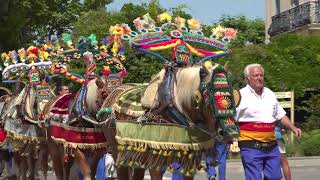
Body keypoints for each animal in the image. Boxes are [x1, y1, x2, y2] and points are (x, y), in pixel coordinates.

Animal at [0, 44, 58, 179]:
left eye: (52, 96)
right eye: (37, 99)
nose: (47, 118)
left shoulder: (42, 145)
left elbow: (42, 167)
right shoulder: (24, 143)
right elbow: (27, 165)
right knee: (20, 163)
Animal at [100, 13, 240, 180]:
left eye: (232, 95)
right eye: (207, 96)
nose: (230, 133)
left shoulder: (188, 157)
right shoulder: (156, 154)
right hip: (116, 148)